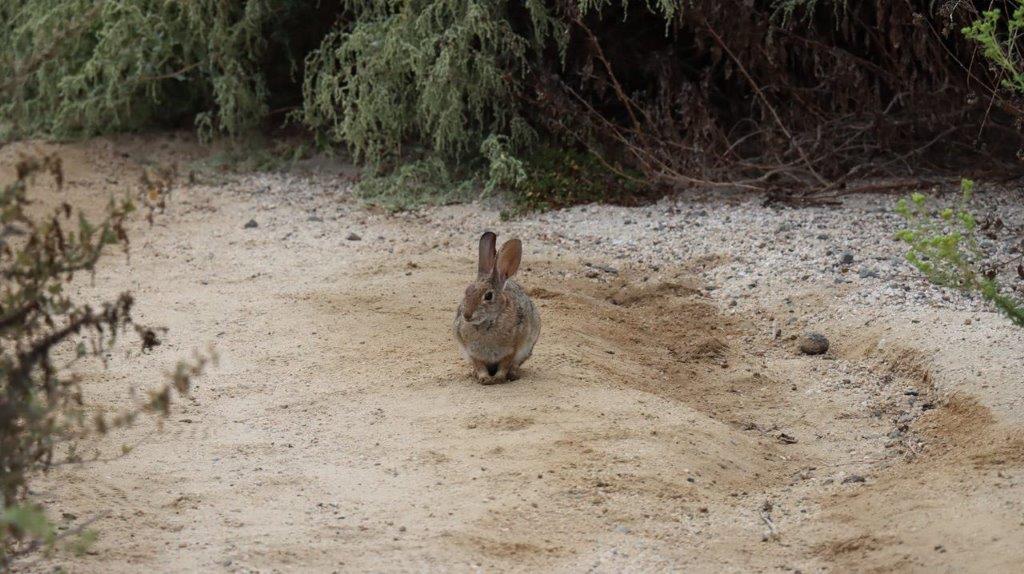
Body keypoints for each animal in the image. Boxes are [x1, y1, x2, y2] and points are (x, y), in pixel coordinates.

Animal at [452, 230, 540, 382]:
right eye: (467, 291)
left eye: (488, 296)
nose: (467, 315)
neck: (489, 321)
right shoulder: (472, 352)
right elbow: (479, 365)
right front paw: (484, 379)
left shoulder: (511, 349)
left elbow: (505, 364)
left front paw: (498, 378)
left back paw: (513, 374)